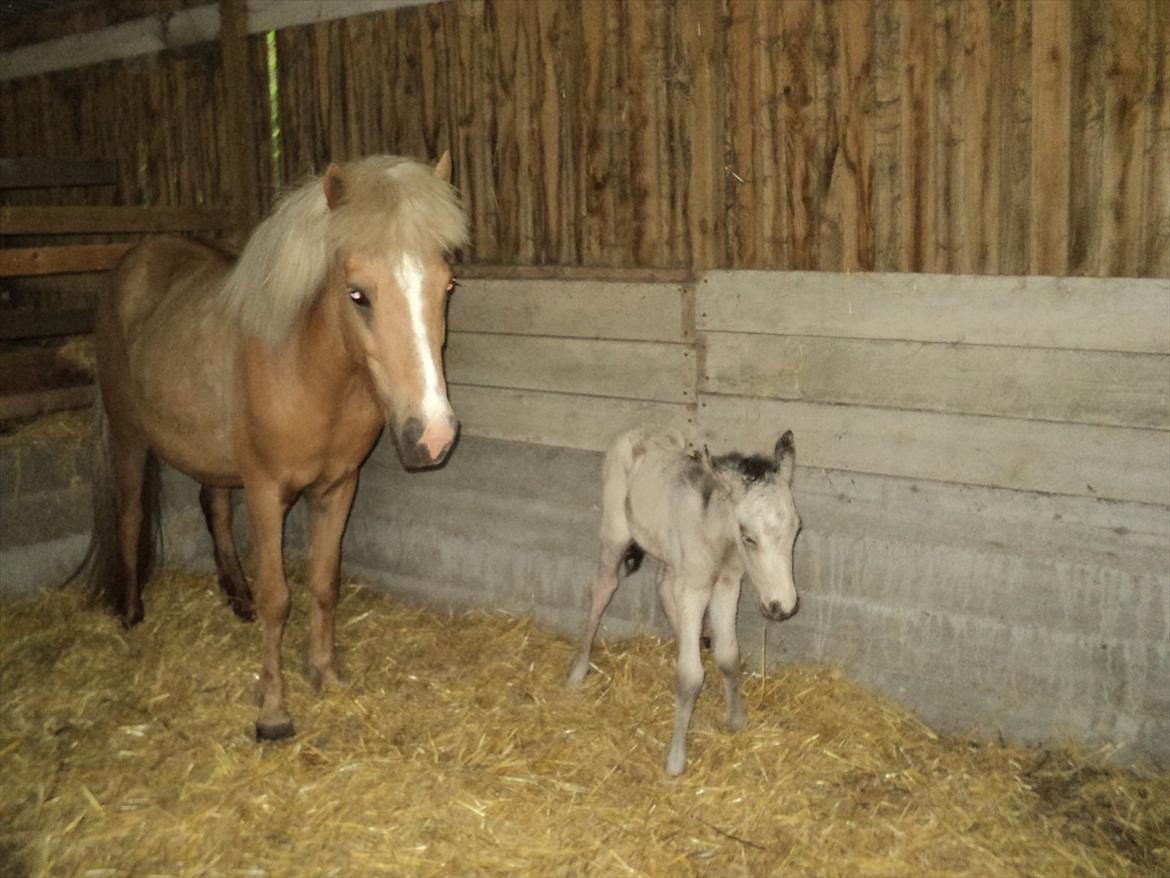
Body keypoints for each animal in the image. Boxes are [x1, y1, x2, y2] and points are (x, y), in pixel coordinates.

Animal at [78, 153, 470, 744]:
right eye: (358, 294)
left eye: (447, 287)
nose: (433, 435)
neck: (308, 370)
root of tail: (136, 262)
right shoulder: (267, 493)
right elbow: (278, 598)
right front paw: (273, 709)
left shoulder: (337, 487)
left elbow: (324, 583)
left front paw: (325, 674)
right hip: (128, 437)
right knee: (128, 515)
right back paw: (130, 611)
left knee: (214, 508)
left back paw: (234, 596)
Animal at [568, 430, 804, 772]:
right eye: (748, 537)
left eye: (797, 528)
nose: (783, 607)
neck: (718, 539)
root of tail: (639, 432)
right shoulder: (694, 588)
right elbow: (690, 677)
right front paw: (676, 759)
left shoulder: (727, 585)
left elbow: (728, 656)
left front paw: (736, 719)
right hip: (615, 532)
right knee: (603, 588)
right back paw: (577, 671)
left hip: (669, 553)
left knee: (664, 587)